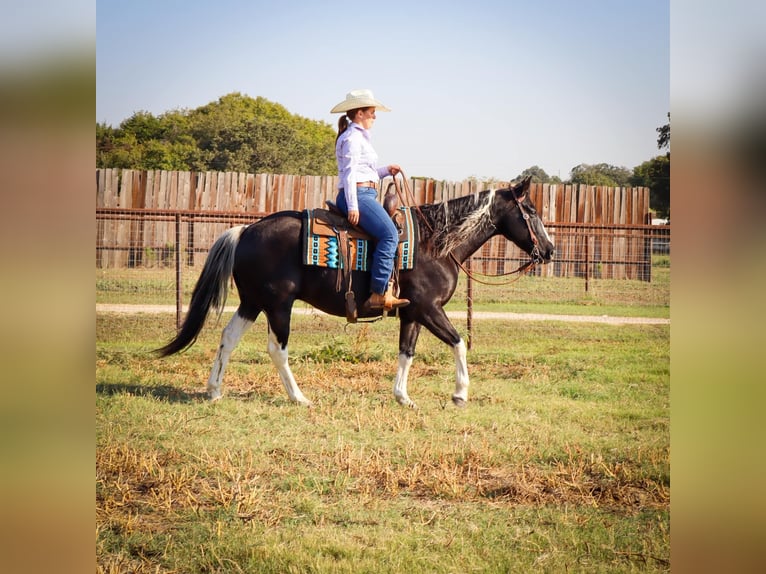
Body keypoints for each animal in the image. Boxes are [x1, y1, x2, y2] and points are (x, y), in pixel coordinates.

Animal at [157, 176, 554, 408]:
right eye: (531, 209)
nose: (549, 250)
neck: (436, 243)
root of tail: (245, 231)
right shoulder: (429, 308)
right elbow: (459, 343)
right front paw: (460, 393)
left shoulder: (412, 313)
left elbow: (407, 352)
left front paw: (402, 397)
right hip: (278, 305)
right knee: (277, 349)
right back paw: (299, 398)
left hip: (252, 303)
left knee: (227, 338)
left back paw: (214, 391)